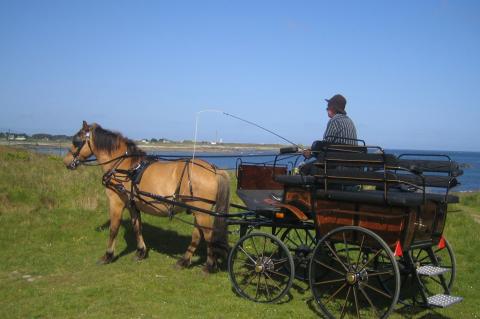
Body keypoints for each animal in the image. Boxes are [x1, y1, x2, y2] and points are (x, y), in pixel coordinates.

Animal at [62, 121, 230, 274]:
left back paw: (209, 265)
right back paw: (183, 261)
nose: (66, 161)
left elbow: (113, 229)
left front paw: (108, 256)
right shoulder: (132, 204)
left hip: (201, 211)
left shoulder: (116, 202)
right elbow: (137, 226)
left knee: (208, 236)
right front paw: (140, 252)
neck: (124, 167)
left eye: (76, 141)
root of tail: (214, 169)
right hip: (198, 211)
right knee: (197, 234)